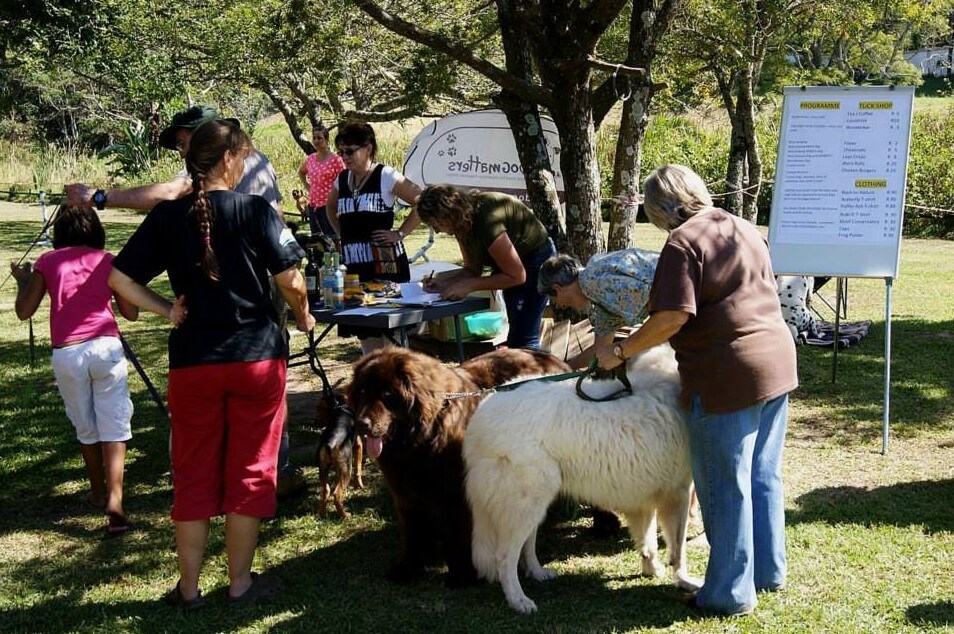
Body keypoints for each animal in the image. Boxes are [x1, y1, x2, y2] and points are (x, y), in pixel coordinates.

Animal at [462, 344, 700, 608]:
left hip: (534, 502)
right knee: (504, 556)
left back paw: (537, 572)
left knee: (527, 543)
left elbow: (647, 542)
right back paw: (519, 600)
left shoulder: (644, 498)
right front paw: (684, 580)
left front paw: (652, 568)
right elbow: (678, 549)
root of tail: (481, 416)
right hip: (527, 500)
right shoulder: (678, 494)